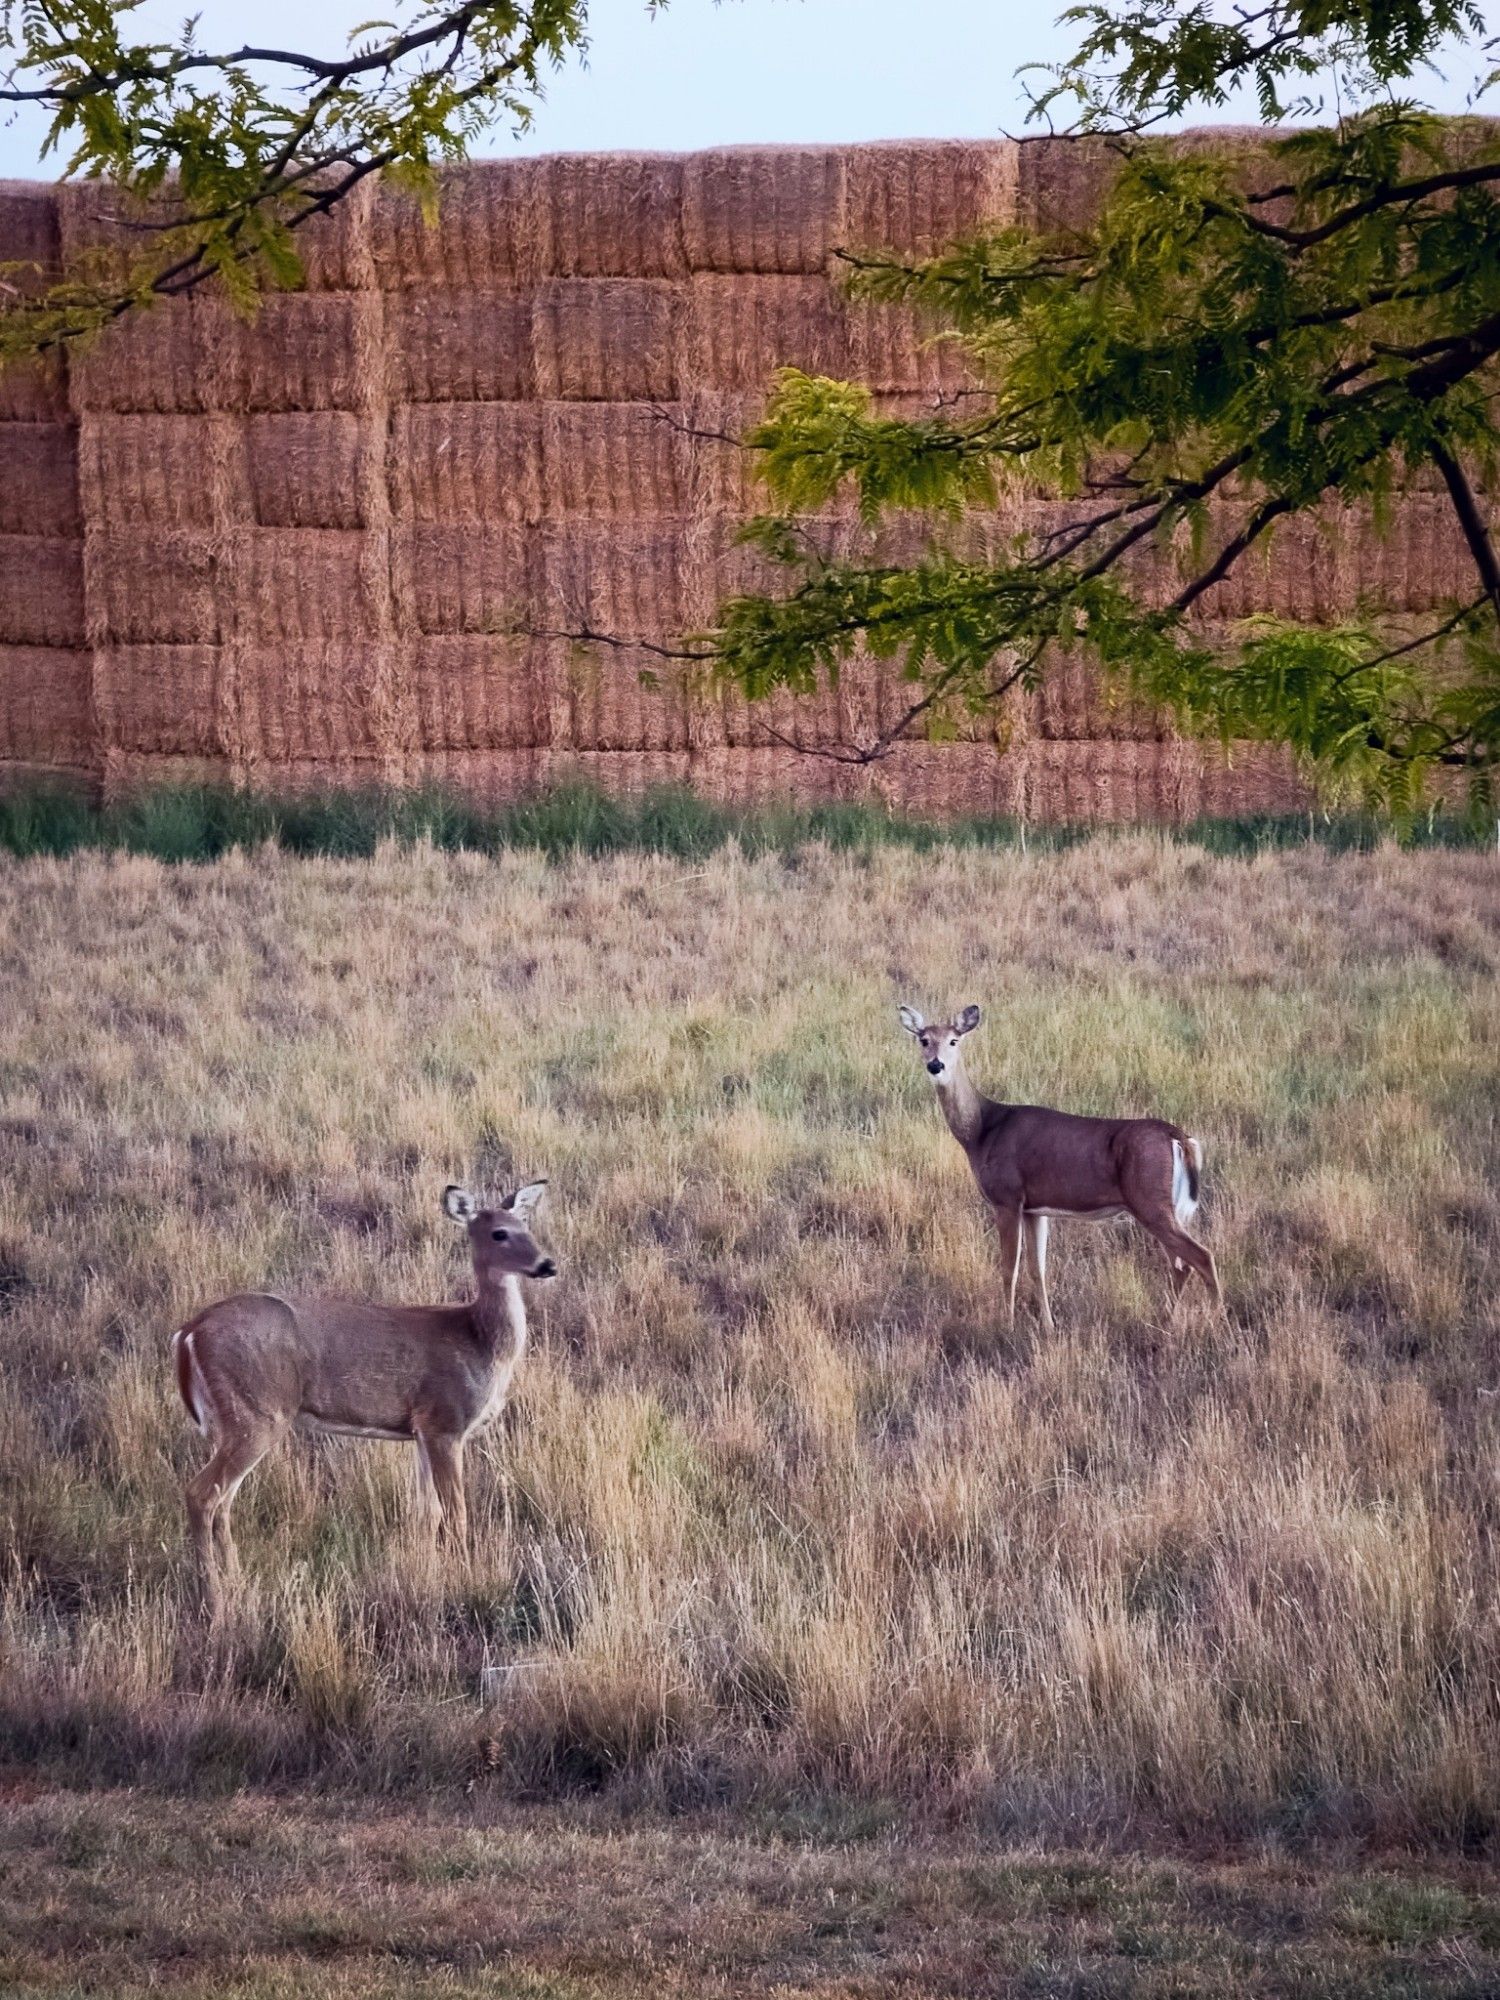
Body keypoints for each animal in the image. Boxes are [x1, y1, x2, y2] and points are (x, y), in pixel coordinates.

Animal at [170, 1176, 560, 1616]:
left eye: (527, 1225)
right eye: (499, 1233)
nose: (547, 1265)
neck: (479, 1339)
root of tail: (189, 1332)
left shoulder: (420, 1430)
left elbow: (425, 1513)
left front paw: (427, 1573)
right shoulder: (446, 1421)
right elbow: (455, 1513)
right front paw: (464, 1579)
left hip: (236, 1420)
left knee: (224, 1501)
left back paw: (234, 1581)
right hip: (257, 1414)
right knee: (202, 1494)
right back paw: (215, 1599)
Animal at [904, 1000, 1224, 1328]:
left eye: (954, 1040)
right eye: (924, 1039)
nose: (936, 1065)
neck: (982, 1130)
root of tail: (1179, 1137)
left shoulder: (1007, 1198)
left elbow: (1009, 1269)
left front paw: (1007, 1325)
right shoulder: (1034, 1208)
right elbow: (1037, 1268)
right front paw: (1048, 1325)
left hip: (1150, 1200)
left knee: (1201, 1256)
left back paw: (1216, 1320)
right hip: (1170, 1207)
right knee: (1181, 1264)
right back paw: (1166, 1320)